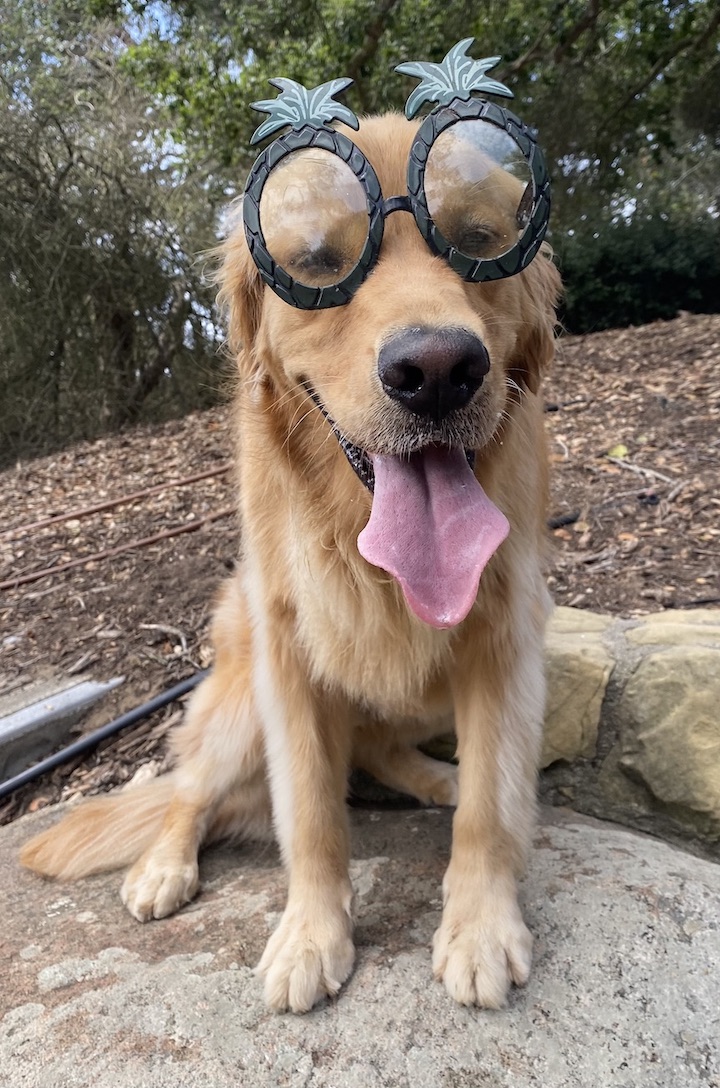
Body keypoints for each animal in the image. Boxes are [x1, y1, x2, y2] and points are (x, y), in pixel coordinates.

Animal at [19, 114, 565, 1014]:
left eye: (480, 241)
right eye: (316, 261)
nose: (438, 372)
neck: (360, 543)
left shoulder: (504, 641)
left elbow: (491, 806)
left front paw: (480, 928)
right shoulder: (291, 667)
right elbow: (309, 813)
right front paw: (311, 936)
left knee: (381, 752)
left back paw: (435, 779)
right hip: (239, 702)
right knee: (189, 793)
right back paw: (162, 867)